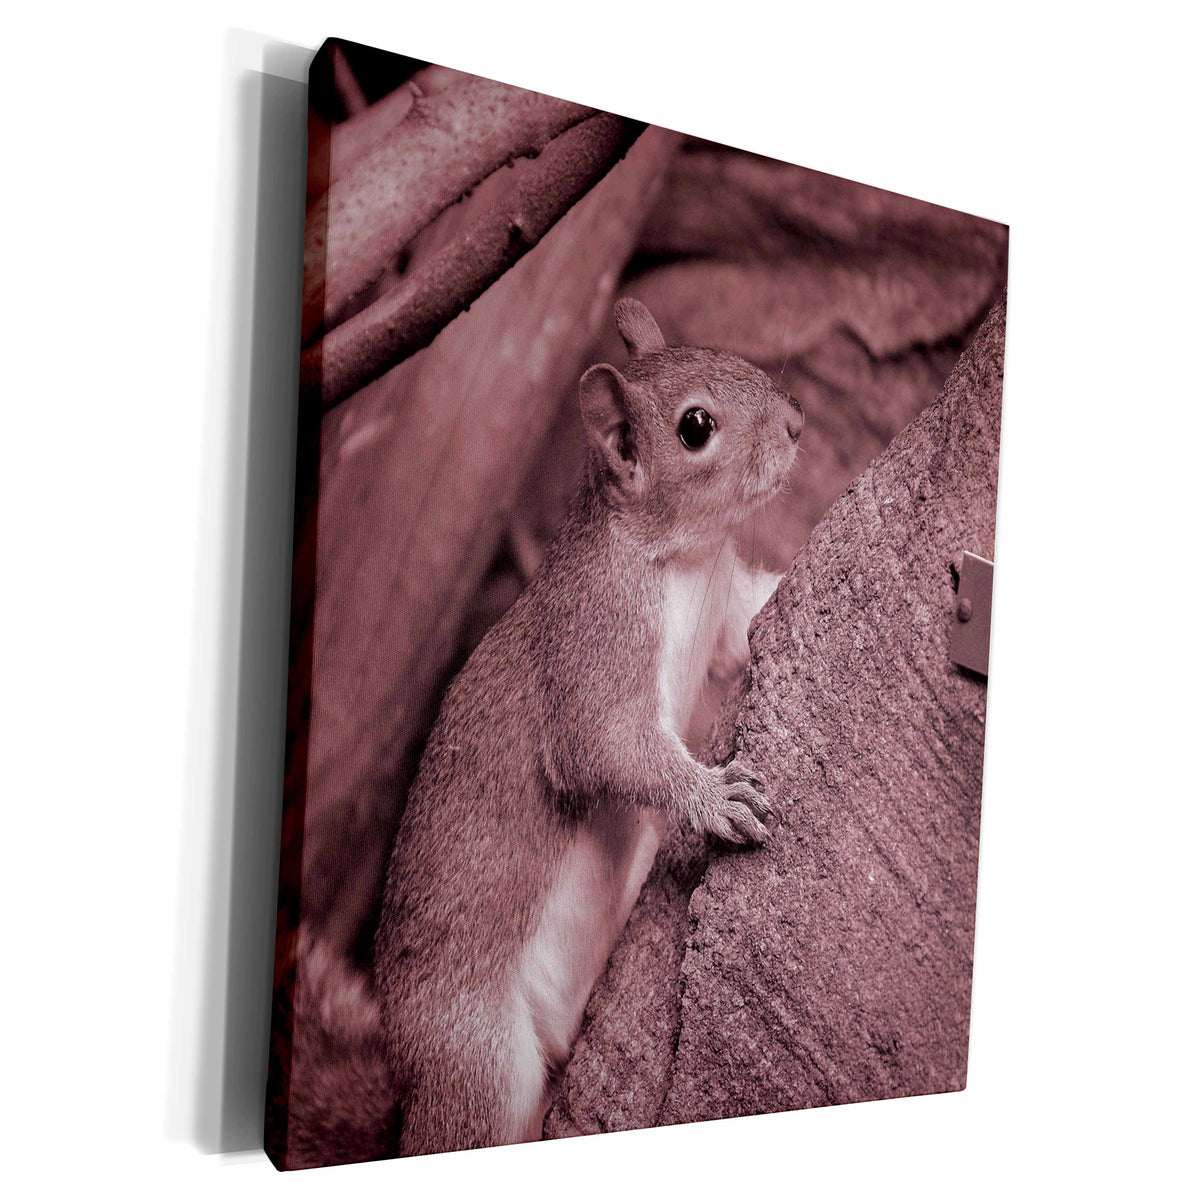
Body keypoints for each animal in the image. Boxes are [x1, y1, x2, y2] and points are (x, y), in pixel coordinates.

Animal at [368, 299, 805, 1156]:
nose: (798, 426)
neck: (683, 559)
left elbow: (752, 620)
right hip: (477, 1059)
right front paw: (713, 797)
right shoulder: (591, 643)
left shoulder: (726, 617)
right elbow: (603, 746)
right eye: (695, 428)